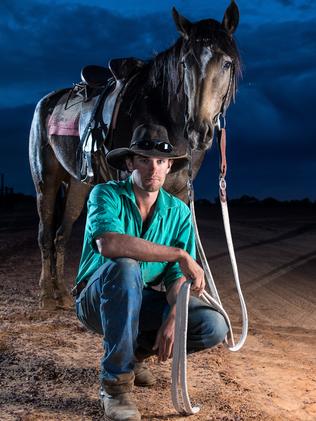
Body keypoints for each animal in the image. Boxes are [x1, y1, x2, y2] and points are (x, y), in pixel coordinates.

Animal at [30, 1, 242, 310]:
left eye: (226, 63)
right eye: (185, 63)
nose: (199, 131)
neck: (164, 116)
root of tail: (47, 101)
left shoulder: (181, 193)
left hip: (79, 186)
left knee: (61, 234)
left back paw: (62, 293)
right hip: (46, 181)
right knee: (45, 234)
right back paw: (47, 294)